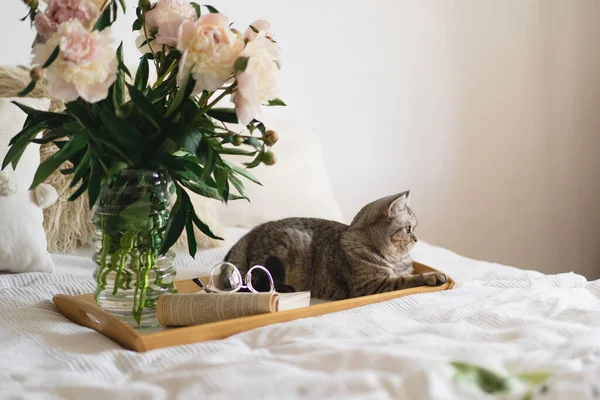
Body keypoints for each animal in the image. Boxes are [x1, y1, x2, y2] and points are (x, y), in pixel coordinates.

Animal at [225, 191, 446, 300]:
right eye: (408, 229)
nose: (416, 239)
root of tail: (249, 234)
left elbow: (407, 274)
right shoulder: (370, 285)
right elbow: (406, 280)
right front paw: (433, 276)